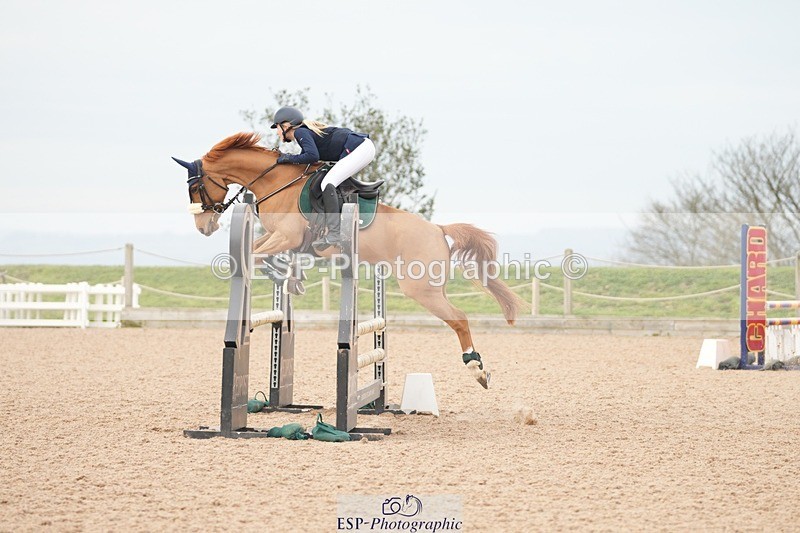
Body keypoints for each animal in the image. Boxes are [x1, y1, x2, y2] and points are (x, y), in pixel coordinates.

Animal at [174, 132, 523, 388]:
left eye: (195, 187)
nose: (204, 227)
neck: (276, 183)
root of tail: (438, 230)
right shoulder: (281, 238)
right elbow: (257, 253)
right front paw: (289, 277)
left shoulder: (287, 236)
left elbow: (254, 255)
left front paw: (288, 277)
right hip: (433, 287)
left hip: (419, 289)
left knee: (460, 318)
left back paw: (477, 369)